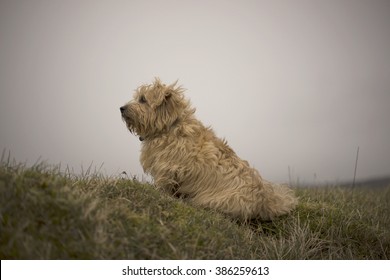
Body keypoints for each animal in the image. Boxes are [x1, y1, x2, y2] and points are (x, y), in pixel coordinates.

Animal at [120, 77, 298, 220]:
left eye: (143, 99)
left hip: (217, 199)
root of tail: (265, 201)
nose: (121, 108)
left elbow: (163, 186)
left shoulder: (168, 169)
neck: (169, 126)